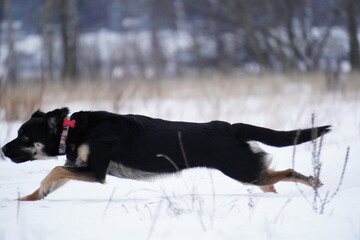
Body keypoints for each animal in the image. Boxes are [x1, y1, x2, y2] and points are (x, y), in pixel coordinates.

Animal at [1, 108, 330, 200]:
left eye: (23, 137)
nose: (2, 150)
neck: (73, 130)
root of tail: (231, 127)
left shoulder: (96, 172)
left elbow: (53, 170)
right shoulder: (81, 167)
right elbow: (49, 180)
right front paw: (26, 201)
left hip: (243, 170)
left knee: (288, 173)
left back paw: (313, 182)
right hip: (250, 172)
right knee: (271, 181)